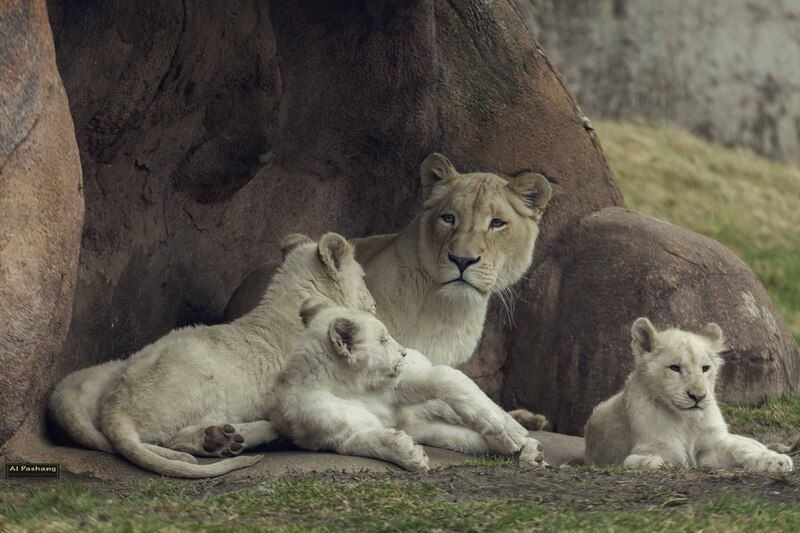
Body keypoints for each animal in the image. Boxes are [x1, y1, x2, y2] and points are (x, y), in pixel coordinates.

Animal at [50, 233, 376, 478]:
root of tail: (114, 408)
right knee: (172, 438)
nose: (373, 304)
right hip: (203, 375)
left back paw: (223, 439)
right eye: (363, 276)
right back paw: (231, 437)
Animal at [267, 299, 545, 471]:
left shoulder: (399, 388)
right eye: (382, 340)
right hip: (429, 428)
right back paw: (530, 453)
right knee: (466, 439)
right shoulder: (334, 430)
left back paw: (523, 436)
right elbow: (363, 442)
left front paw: (508, 430)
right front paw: (410, 454)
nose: (403, 353)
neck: (351, 386)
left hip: (438, 407)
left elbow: (446, 379)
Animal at [584, 318, 793, 473]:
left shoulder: (709, 446)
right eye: (674, 368)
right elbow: (655, 460)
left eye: (705, 368)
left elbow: (737, 448)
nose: (698, 397)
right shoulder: (641, 452)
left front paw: (775, 461)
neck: (685, 422)